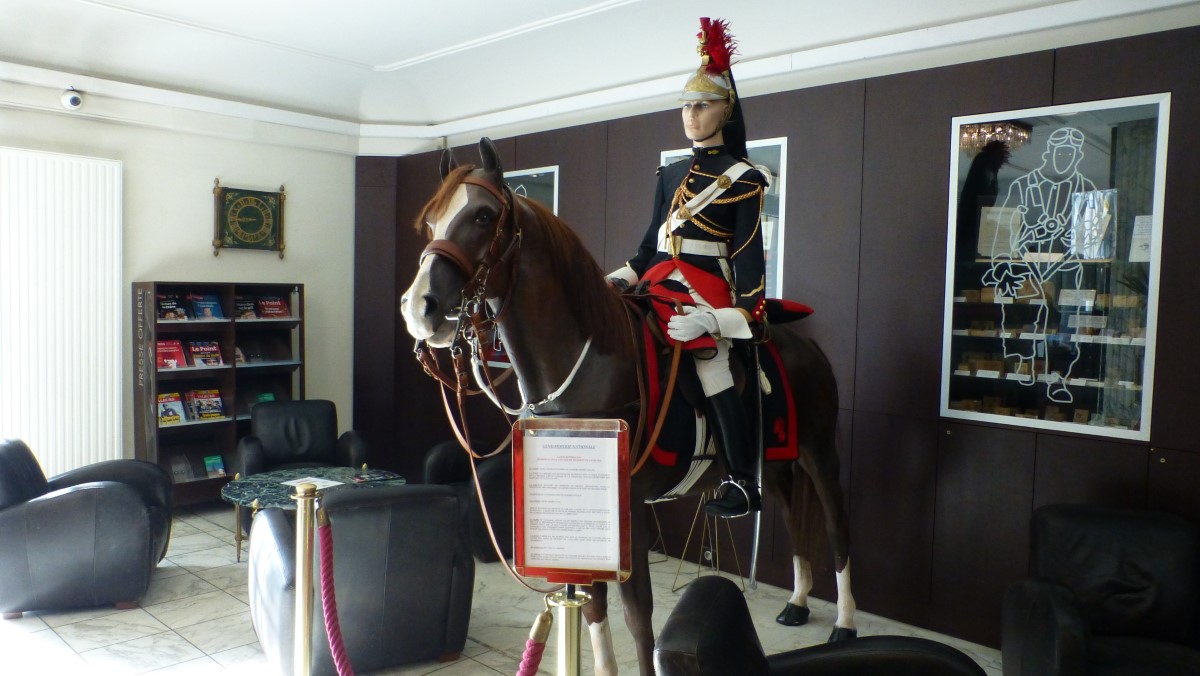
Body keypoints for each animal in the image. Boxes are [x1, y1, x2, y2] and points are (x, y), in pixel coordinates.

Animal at [403, 138, 854, 676]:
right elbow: (593, 606)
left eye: (484, 216)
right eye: (431, 222)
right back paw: (798, 601)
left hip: (821, 452)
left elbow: (638, 615)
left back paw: (844, 622)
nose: (420, 307)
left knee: (837, 527)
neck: (586, 363)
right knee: (792, 519)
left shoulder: (630, 508)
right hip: (780, 460)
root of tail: (801, 342)